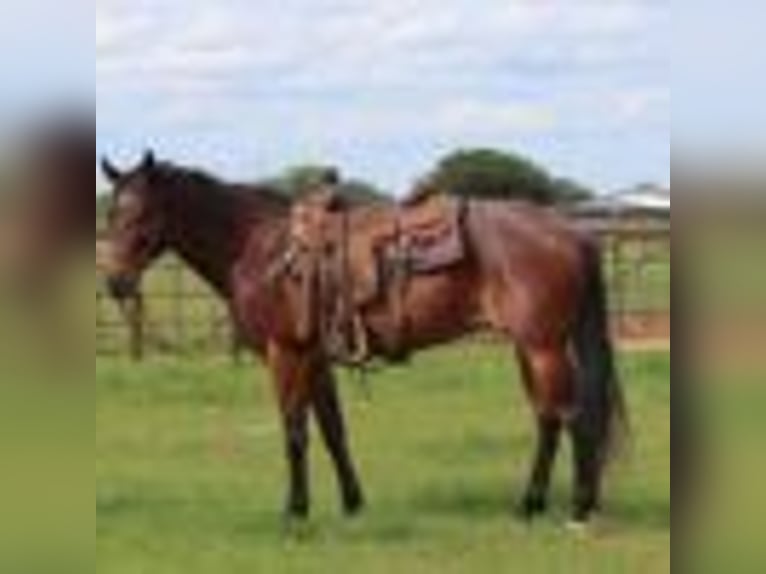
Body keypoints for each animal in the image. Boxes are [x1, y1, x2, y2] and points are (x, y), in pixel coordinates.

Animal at [100, 152, 627, 526]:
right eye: (112, 213)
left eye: (142, 213)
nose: (115, 282)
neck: (259, 249)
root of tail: (571, 232)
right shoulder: (315, 357)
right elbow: (333, 430)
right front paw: (353, 504)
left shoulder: (284, 353)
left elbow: (294, 432)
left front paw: (295, 512)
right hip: (530, 347)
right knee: (548, 419)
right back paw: (532, 505)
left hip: (542, 346)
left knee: (573, 419)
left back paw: (575, 510)